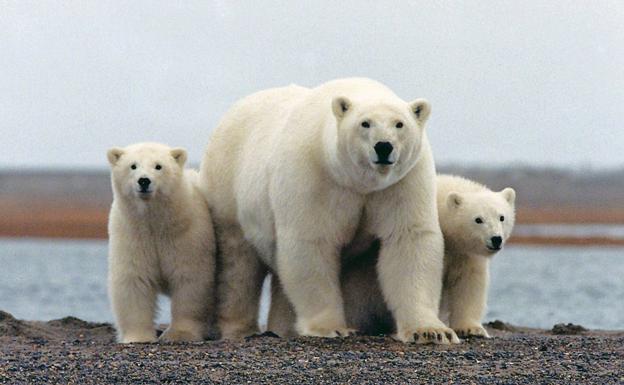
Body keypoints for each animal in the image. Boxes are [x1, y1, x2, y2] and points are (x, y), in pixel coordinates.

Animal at [200, 77, 458, 342]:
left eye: (399, 124)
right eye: (365, 123)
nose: (384, 146)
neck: (358, 182)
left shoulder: (402, 182)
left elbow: (408, 239)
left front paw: (431, 331)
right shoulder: (315, 175)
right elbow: (312, 242)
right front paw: (331, 327)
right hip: (228, 187)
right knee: (238, 264)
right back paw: (240, 328)